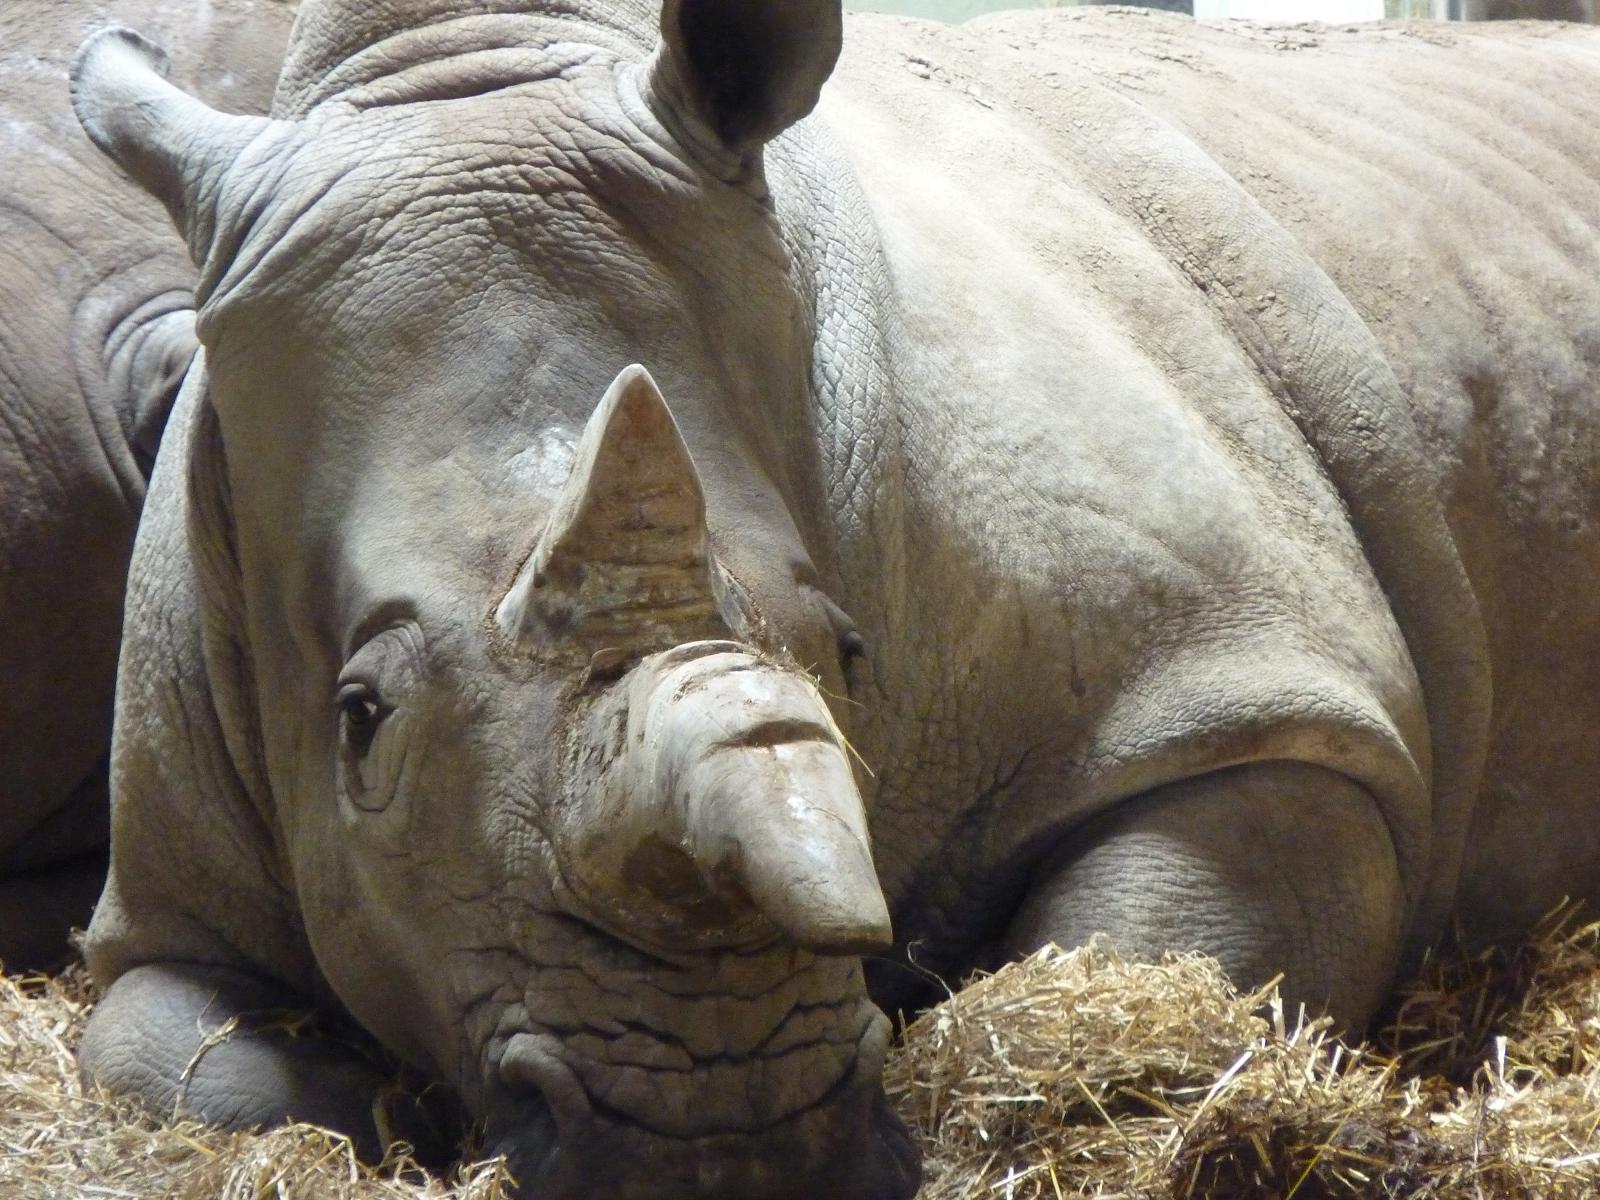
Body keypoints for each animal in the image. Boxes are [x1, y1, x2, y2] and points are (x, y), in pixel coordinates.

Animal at [66, 2, 1600, 1197]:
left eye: (845, 651)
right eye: (358, 718)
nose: (727, 1138)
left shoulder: (1255, 699)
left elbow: (1143, 944)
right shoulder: (169, 875)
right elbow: (159, 1054)